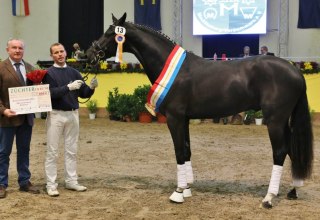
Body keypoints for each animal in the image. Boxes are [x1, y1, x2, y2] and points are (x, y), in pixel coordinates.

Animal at [85, 12, 312, 209]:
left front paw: (178, 193)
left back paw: (269, 198)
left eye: (110, 33)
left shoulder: (174, 119)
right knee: (291, 150)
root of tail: (294, 70)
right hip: (283, 121)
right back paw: (292, 191)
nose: (88, 54)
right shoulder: (184, 119)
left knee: (280, 152)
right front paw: (186, 188)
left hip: (275, 120)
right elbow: (187, 150)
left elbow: (178, 151)